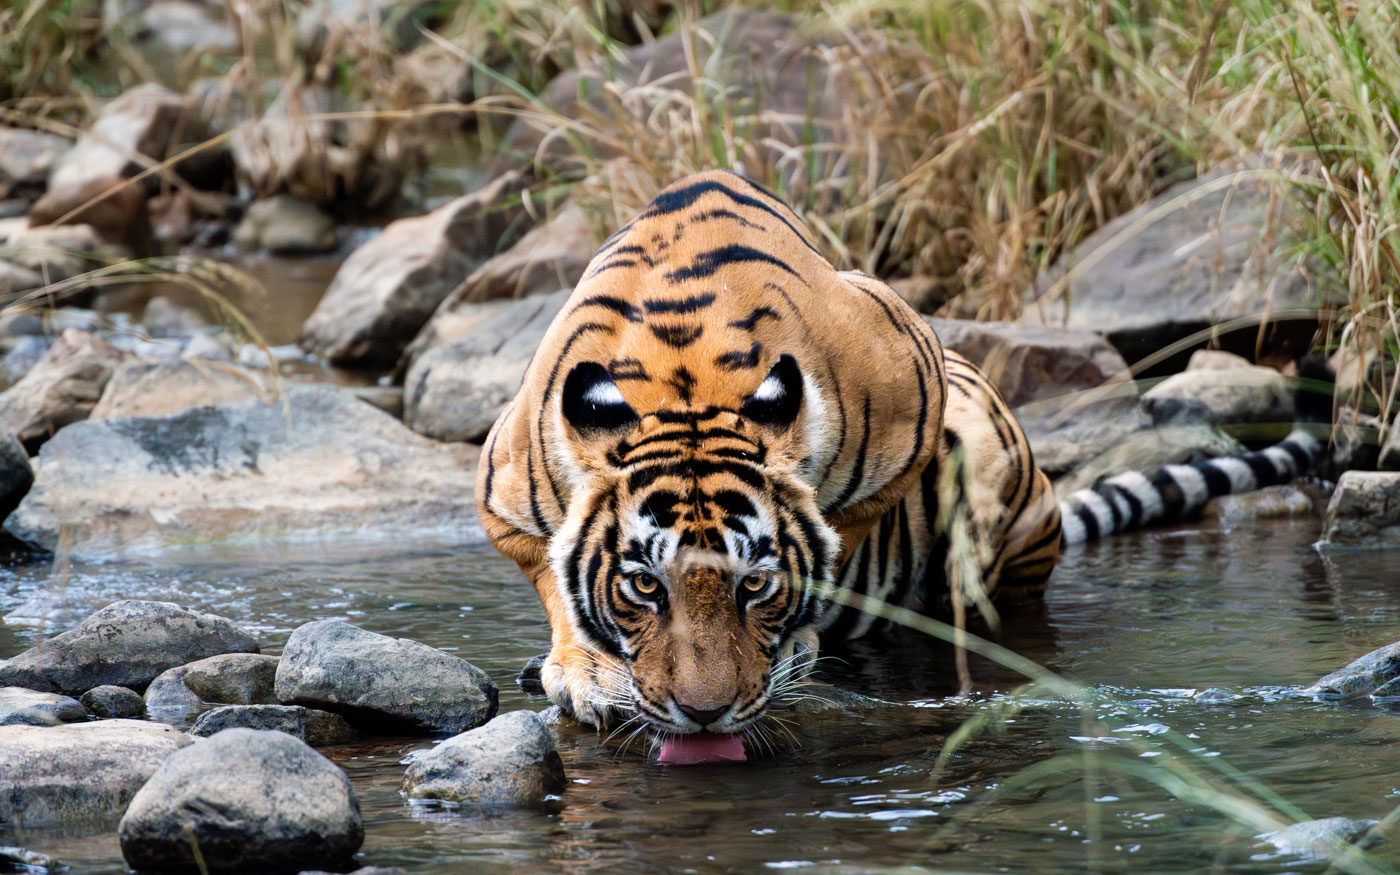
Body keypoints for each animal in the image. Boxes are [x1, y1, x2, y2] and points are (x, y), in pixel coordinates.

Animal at [476, 169, 1322, 749]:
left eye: (756, 584)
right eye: (644, 586)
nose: (705, 714)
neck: (688, 383)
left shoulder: (916, 384)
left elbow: (844, 524)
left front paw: (800, 638)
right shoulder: (504, 495)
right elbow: (551, 571)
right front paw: (585, 669)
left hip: (992, 455)